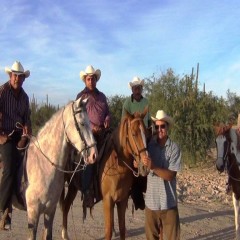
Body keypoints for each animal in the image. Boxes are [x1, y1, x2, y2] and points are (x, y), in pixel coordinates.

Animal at [60, 109, 149, 240]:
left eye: (146, 133)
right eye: (133, 134)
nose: (145, 166)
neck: (116, 165)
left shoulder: (122, 200)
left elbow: (122, 229)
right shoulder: (108, 200)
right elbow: (108, 231)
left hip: (73, 187)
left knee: (65, 206)